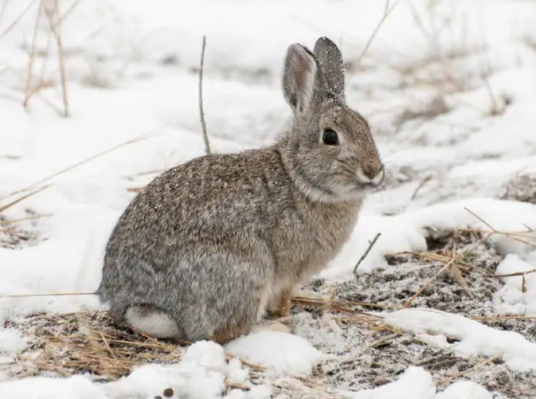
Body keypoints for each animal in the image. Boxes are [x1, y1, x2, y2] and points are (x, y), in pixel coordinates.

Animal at [97, 36, 386, 344]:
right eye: (330, 137)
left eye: (367, 127)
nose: (373, 170)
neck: (298, 178)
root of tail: (137, 302)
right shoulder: (286, 274)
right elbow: (281, 301)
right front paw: (285, 316)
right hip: (245, 271)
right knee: (223, 332)